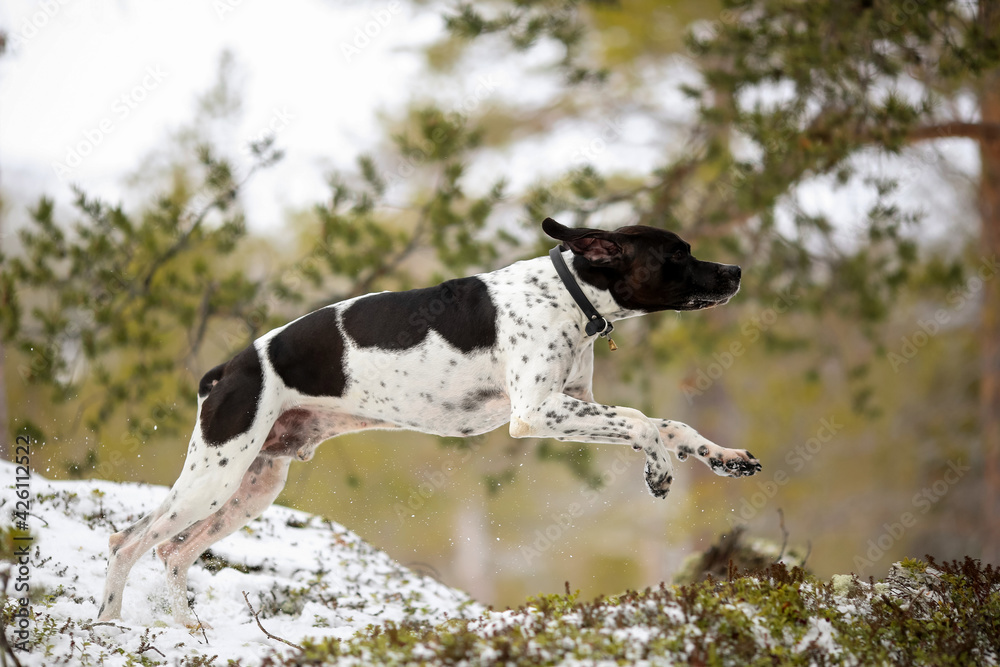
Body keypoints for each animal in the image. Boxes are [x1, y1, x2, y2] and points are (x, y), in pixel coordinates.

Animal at [99, 218, 756, 628]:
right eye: (677, 254)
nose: (736, 271)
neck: (567, 295)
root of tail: (229, 368)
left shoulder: (571, 403)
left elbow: (668, 424)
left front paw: (722, 456)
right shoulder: (536, 412)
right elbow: (642, 421)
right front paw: (659, 471)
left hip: (252, 487)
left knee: (173, 553)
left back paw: (189, 630)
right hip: (214, 477)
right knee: (129, 541)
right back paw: (109, 626)